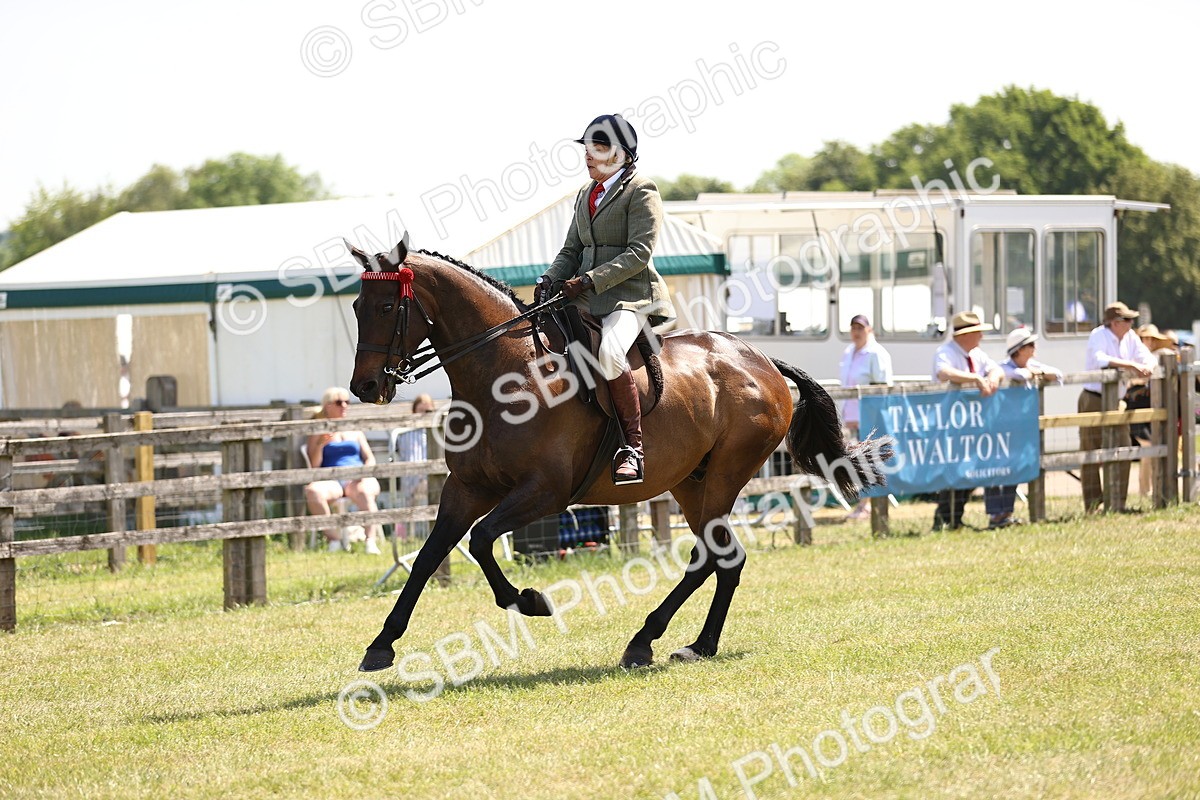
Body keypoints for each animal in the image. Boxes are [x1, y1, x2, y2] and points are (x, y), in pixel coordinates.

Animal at [347, 238, 893, 672]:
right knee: (724, 557)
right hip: (690, 482)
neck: (506, 372)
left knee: (711, 554)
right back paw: (693, 645)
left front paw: (528, 600)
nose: (365, 387)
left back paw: (650, 640)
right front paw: (381, 645)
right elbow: (428, 557)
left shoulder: (545, 492)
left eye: (386, 307)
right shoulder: (466, 488)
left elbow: (481, 540)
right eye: (356, 305)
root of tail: (759, 360)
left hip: (725, 474)